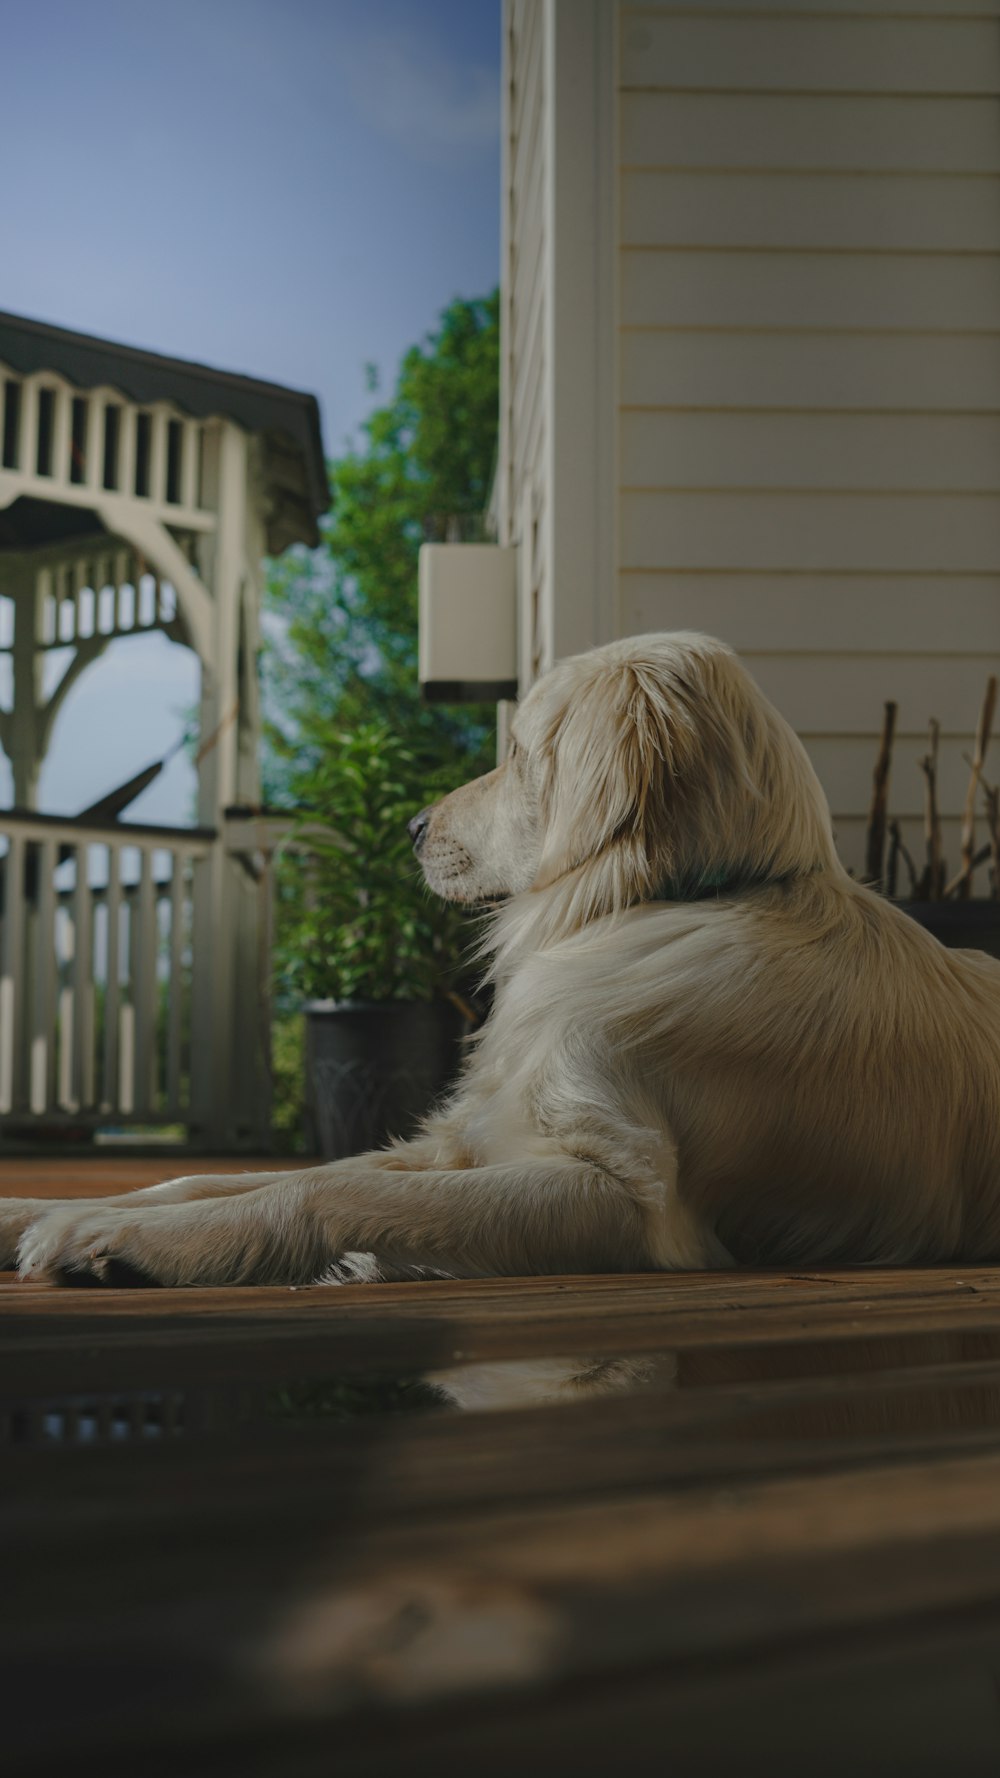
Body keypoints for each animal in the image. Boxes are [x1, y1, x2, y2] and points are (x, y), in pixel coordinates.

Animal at [5, 632, 996, 1301]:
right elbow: (238, 1175)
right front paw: (40, 1208)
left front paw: (118, 1233)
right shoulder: (468, 1135)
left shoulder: (625, 1194)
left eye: (518, 753)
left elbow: (326, 1185)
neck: (672, 902)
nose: (411, 828)